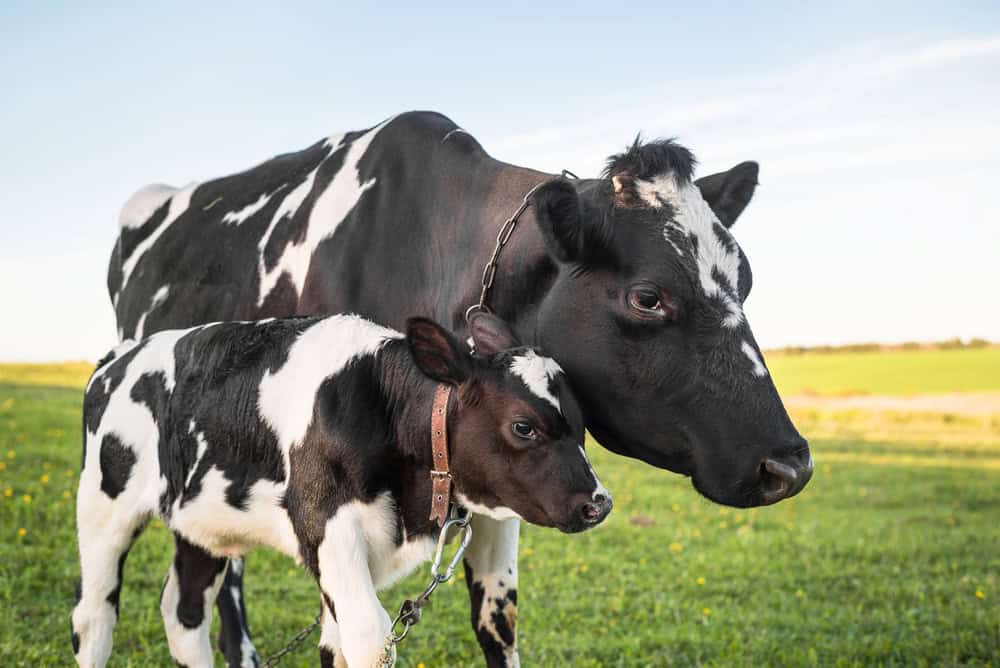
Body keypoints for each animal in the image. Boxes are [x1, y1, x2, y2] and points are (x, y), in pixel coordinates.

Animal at [71, 311, 611, 668]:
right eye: (523, 426)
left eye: (583, 423)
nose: (599, 504)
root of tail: (117, 357)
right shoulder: (329, 530)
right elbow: (370, 640)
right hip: (103, 506)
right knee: (92, 617)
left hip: (201, 526)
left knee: (184, 614)